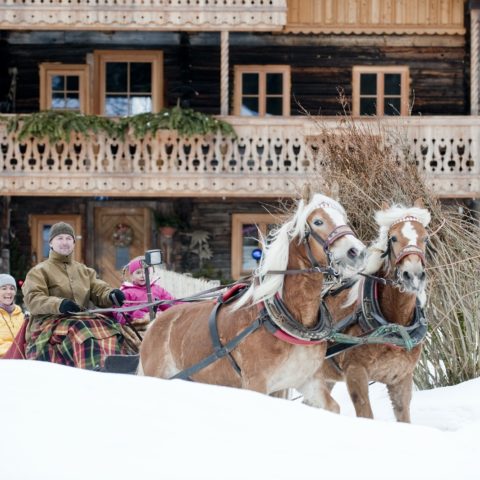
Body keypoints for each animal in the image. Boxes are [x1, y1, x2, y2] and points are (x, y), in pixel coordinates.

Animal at [137, 193, 366, 406]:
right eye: (318, 221)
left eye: (344, 218)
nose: (357, 251)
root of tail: (155, 322)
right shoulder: (256, 383)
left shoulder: (308, 380)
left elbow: (333, 407)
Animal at [318, 198, 432, 420]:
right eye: (393, 238)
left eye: (425, 237)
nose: (413, 275)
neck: (394, 325)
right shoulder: (355, 373)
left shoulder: (401, 378)